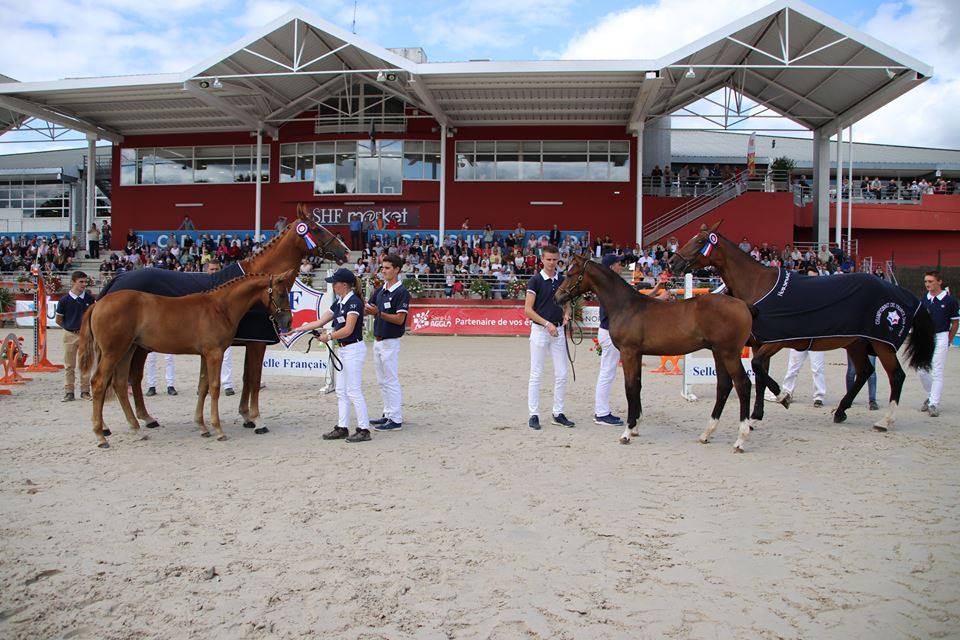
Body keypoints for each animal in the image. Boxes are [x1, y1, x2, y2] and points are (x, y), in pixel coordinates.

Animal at [79, 272, 292, 448]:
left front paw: (202, 427)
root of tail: (97, 303)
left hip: (127, 350)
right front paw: (218, 430)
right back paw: (101, 436)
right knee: (99, 383)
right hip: (113, 352)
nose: (288, 322)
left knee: (120, 384)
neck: (220, 307)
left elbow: (203, 386)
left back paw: (136, 429)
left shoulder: (205, 355)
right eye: (281, 293)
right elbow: (214, 388)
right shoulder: (215, 353)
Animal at [556, 252, 756, 452]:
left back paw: (740, 439)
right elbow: (637, 386)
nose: (557, 297)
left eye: (570, 274)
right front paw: (636, 426)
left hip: (729, 354)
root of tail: (743, 306)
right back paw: (706, 434)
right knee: (724, 386)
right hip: (718, 353)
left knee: (743, 385)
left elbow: (630, 388)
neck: (626, 306)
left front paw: (627, 432)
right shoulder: (637, 354)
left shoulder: (628, 353)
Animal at [672, 222, 932, 432]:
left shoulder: (776, 342)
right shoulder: (759, 343)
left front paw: (782, 397)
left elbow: (757, 368)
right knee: (865, 371)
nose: (673, 262)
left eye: (699, 241)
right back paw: (841, 411)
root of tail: (903, 293)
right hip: (856, 343)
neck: (759, 285)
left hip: (881, 344)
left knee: (896, 375)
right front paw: (756, 417)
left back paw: (885, 421)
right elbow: (759, 375)